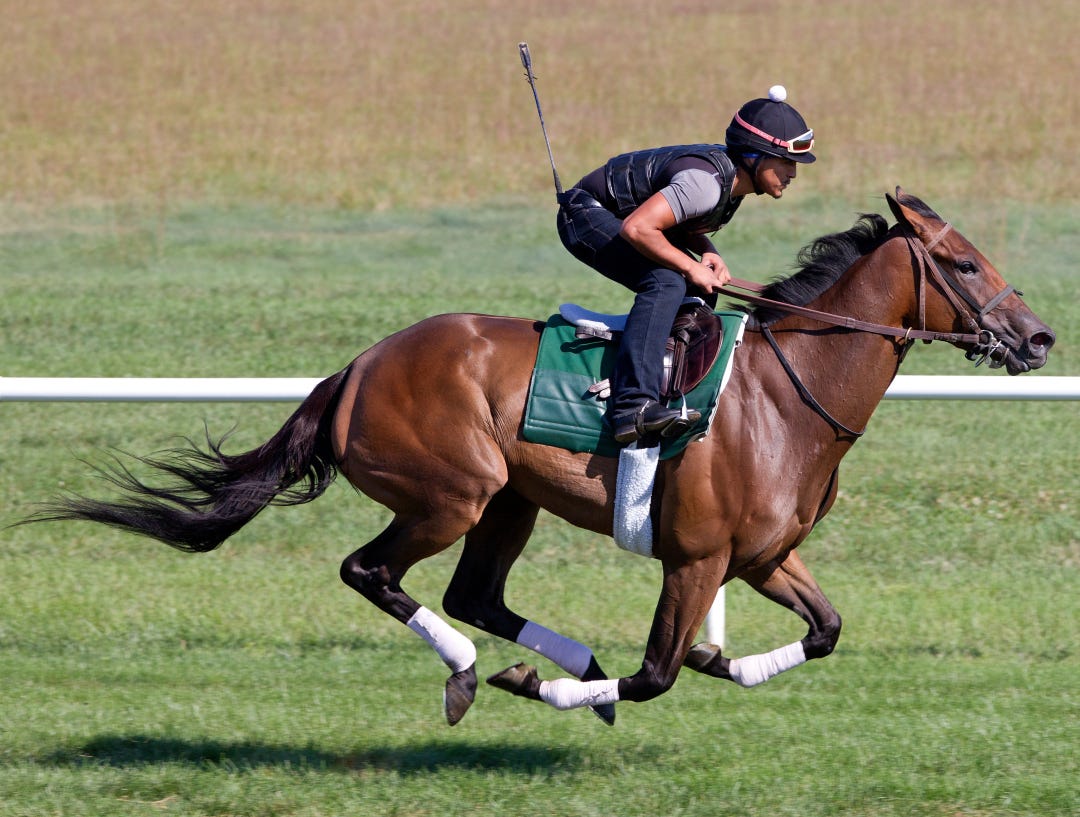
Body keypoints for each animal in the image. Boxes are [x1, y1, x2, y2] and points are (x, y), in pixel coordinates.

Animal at [29, 189, 1055, 726]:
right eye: (965, 264)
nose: (1039, 336)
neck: (784, 392)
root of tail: (357, 366)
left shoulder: (764, 556)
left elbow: (826, 628)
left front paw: (718, 659)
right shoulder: (696, 559)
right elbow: (655, 671)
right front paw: (557, 685)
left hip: (508, 502)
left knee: (475, 594)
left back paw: (540, 657)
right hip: (453, 492)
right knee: (372, 571)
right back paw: (472, 671)